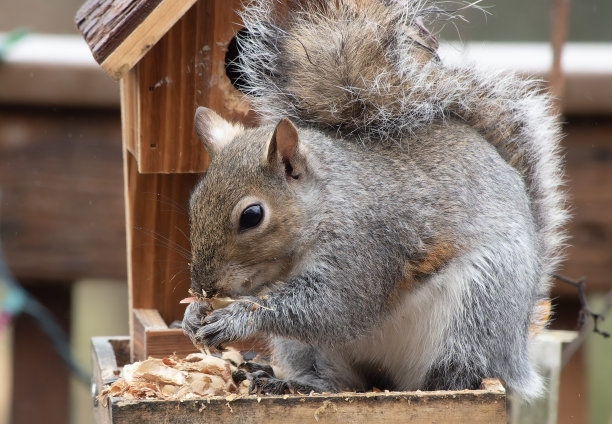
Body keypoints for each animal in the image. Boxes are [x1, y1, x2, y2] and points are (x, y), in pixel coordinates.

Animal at [183, 0, 568, 400]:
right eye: (193, 202)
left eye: (252, 216)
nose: (203, 286)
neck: (328, 204)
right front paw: (192, 315)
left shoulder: (367, 250)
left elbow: (333, 309)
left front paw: (236, 318)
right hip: (309, 350)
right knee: (337, 381)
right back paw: (291, 381)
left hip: (478, 308)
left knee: (458, 369)